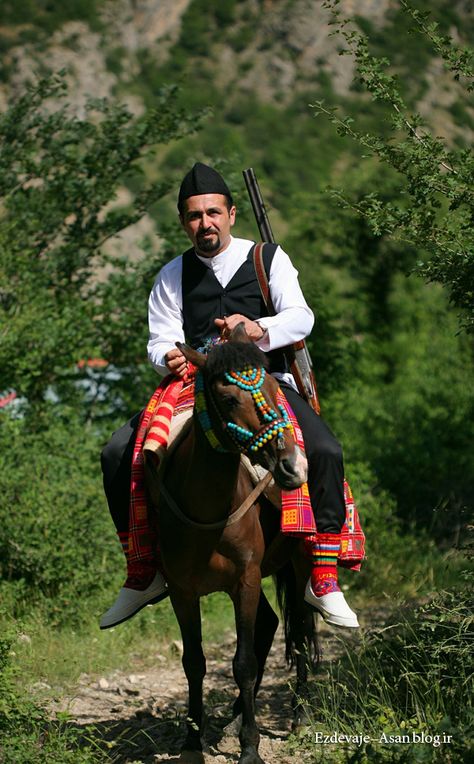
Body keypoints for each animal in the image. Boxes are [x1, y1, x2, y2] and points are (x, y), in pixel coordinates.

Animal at [144, 322, 318, 764]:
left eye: (273, 388)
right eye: (227, 398)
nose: (293, 466)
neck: (208, 509)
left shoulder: (246, 579)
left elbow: (243, 663)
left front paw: (250, 747)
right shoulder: (183, 591)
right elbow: (194, 662)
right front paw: (192, 743)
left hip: (300, 565)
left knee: (300, 630)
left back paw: (299, 716)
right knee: (272, 624)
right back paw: (234, 717)